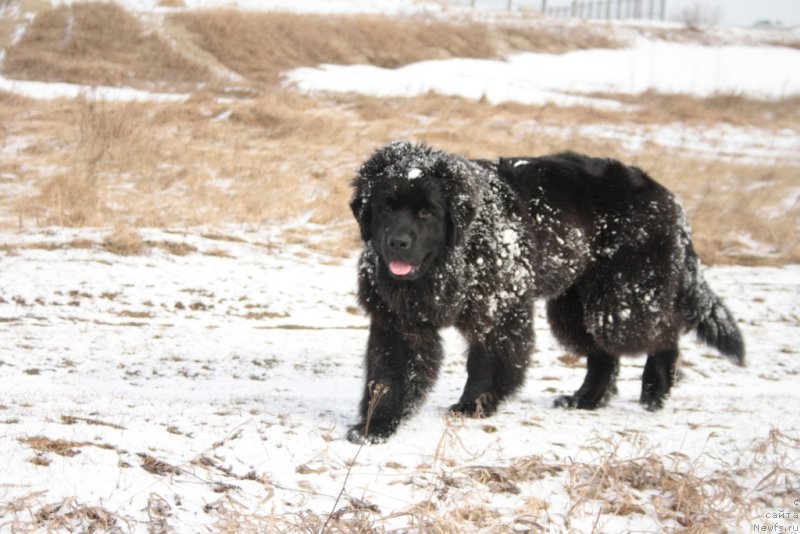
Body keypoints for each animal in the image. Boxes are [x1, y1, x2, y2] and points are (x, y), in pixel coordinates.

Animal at [346, 141, 748, 444]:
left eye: (427, 212)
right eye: (386, 207)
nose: (397, 242)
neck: (450, 262)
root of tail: (669, 198)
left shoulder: (501, 308)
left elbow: (485, 364)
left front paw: (474, 406)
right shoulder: (399, 322)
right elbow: (389, 375)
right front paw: (375, 425)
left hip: (622, 298)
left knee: (663, 332)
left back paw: (654, 391)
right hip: (576, 304)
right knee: (603, 356)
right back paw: (584, 400)